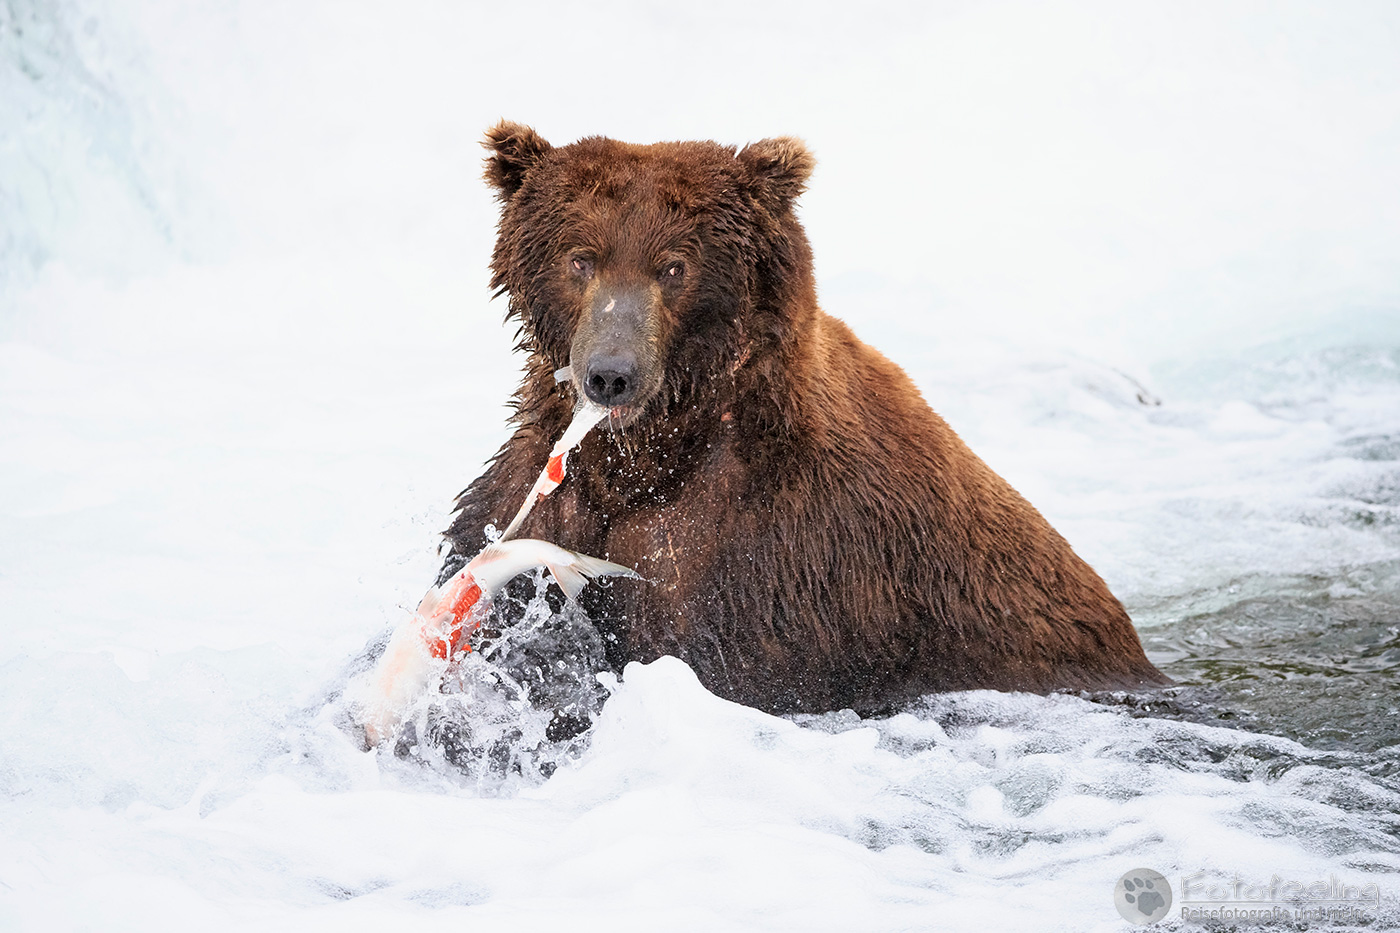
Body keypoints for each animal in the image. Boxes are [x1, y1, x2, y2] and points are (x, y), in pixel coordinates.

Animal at [439, 121, 1168, 717]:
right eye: (580, 257)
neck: (654, 452)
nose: (610, 374)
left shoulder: (772, 560)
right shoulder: (535, 499)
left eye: (675, 265)